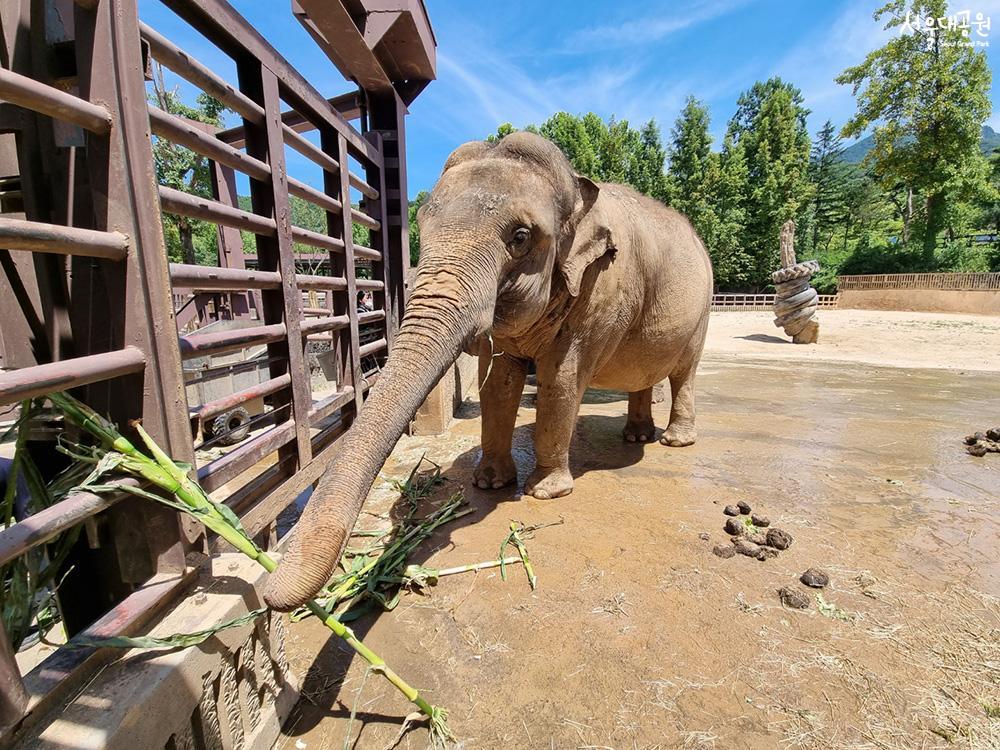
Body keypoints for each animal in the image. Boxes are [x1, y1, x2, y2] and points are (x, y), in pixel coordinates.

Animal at [266, 131, 712, 612]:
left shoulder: (600, 290)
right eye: (421, 225)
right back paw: (636, 437)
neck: (577, 189)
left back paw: (674, 441)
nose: (270, 592)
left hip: (702, 312)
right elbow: (499, 381)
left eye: (520, 237)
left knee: (684, 373)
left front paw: (544, 492)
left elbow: (560, 380)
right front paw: (490, 483)